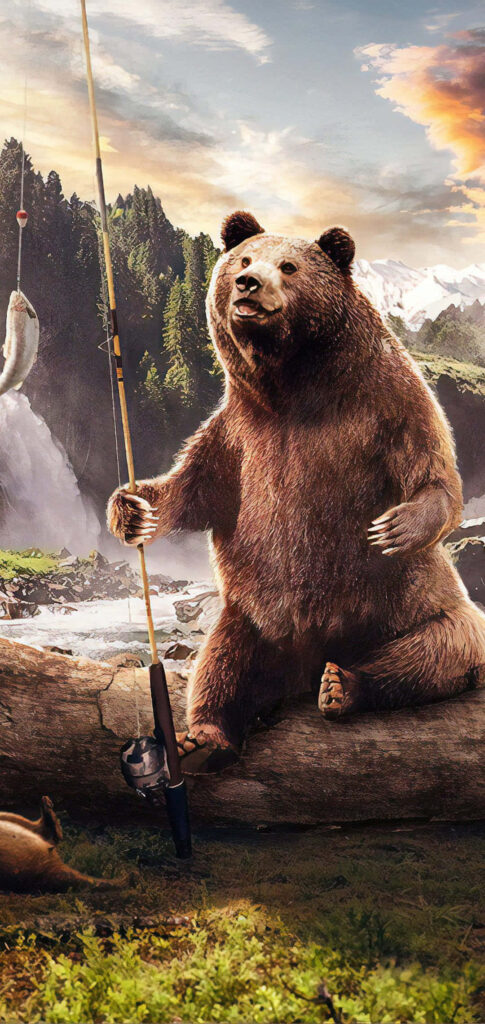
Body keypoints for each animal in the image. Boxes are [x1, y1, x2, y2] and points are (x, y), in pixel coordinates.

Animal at [107, 211, 485, 773]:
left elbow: (433, 470)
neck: (294, 386)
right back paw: (204, 739)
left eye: (288, 266)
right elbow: (194, 487)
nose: (248, 283)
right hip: (254, 620)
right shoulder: (240, 434)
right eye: (244, 258)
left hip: (411, 608)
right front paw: (133, 509)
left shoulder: (388, 401)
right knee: (220, 665)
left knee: (438, 649)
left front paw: (394, 526)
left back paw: (342, 685)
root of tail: (304, 664)